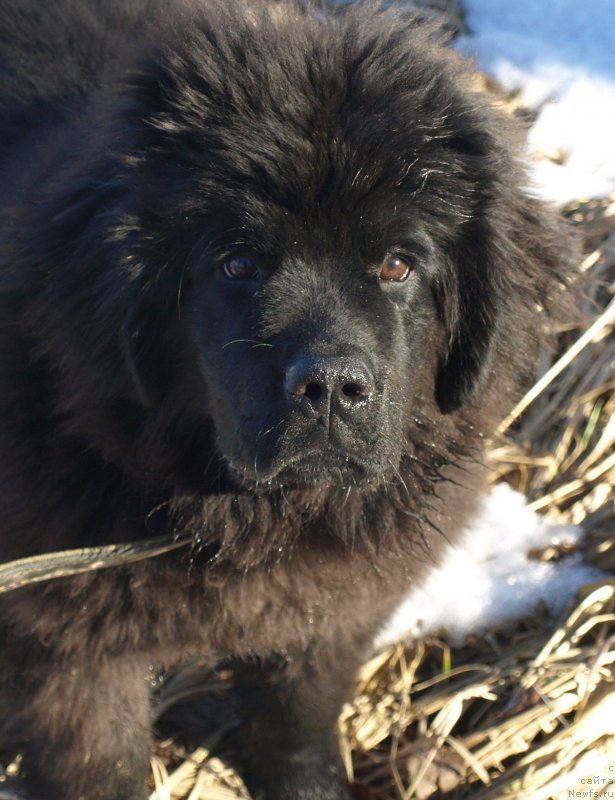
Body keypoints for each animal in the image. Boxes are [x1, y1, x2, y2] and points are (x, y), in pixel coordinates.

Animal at [0, 1, 572, 800]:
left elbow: (297, 719)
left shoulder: (332, 608)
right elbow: (100, 760)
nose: (330, 387)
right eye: (237, 264)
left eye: (397, 265)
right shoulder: (65, 642)